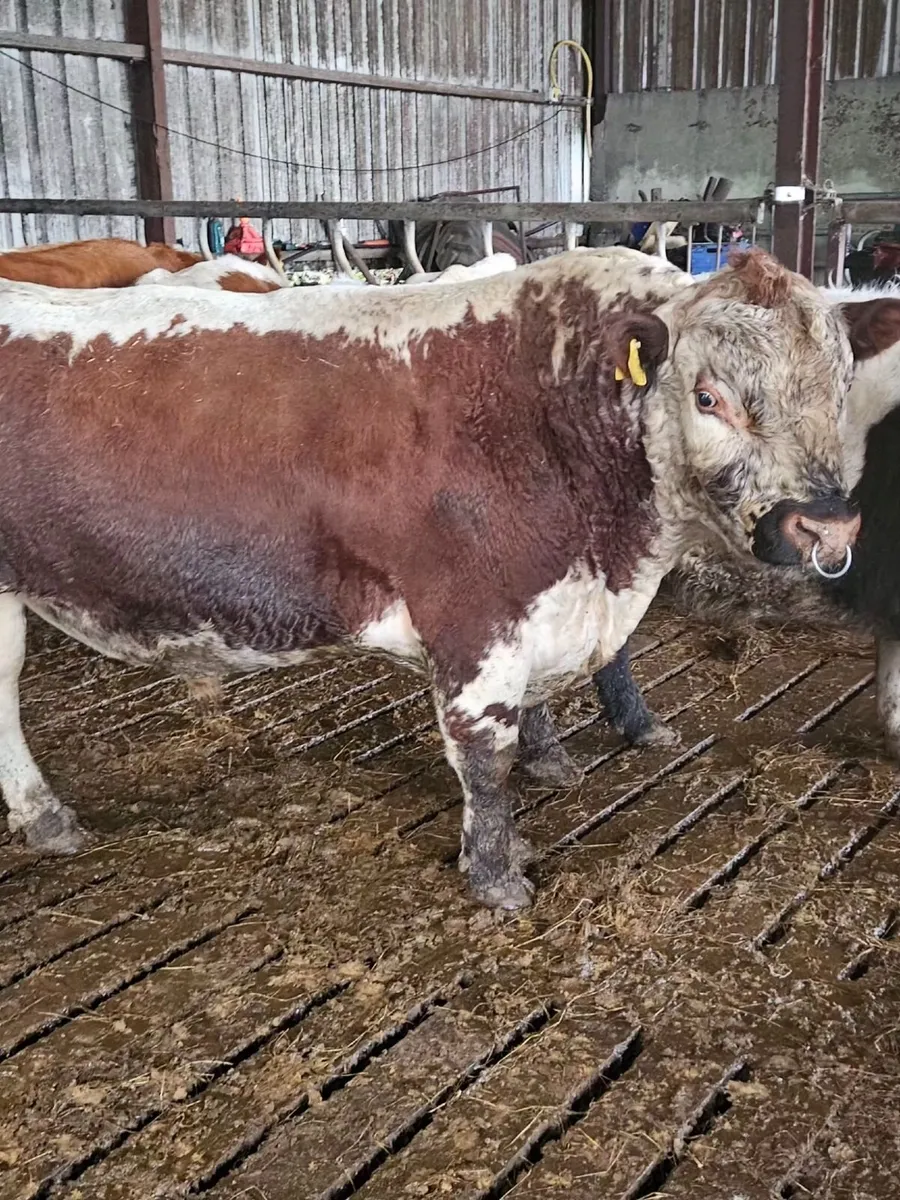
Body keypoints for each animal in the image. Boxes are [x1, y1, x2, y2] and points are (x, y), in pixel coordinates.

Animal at [0, 247, 862, 909]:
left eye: (843, 389)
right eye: (710, 397)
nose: (826, 526)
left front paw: (550, 771)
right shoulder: (475, 618)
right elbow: (485, 758)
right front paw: (496, 876)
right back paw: (48, 816)